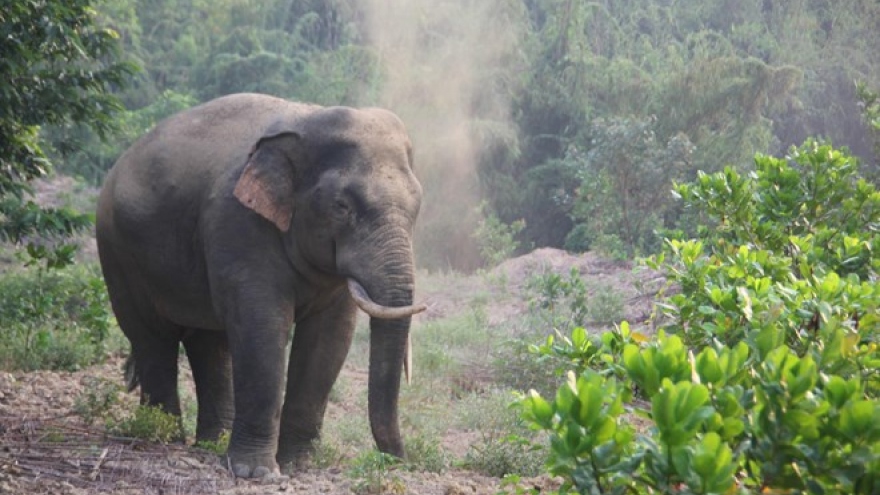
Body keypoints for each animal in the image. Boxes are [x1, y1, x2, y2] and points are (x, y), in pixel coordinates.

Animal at [95, 93, 425, 478]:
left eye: (418, 205)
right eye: (342, 206)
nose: (398, 461)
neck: (307, 121)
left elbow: (329, 338)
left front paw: (298, 466)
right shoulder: (238, 222)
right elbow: (261, 328)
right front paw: (255, 473)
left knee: (209, 342)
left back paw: (211, 444)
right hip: (117, 252)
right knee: (152, 337)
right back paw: (163, 437)